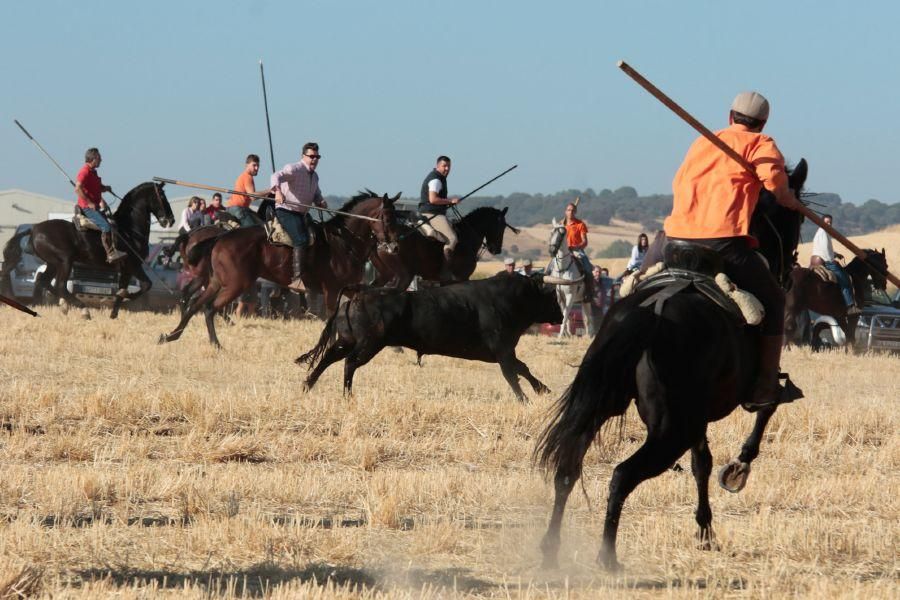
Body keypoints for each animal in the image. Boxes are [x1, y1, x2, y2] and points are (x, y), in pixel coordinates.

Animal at [0, 182, 175, 318]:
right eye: (162, 196)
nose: (171, 220)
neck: (129, 230)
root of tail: (34, 229)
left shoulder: (126, 269)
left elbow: (127, 288)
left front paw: (114, 313)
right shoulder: (133, 265)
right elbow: (146, 285)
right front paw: (125, 296)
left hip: (52, 263)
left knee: (44, 280)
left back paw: (65, 305)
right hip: (65, 261)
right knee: (60, 285)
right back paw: (83, 310)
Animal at [159, 188, 400, 346]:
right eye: (388, 218)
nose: (395, 246)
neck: (343, 243)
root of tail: (220, 237)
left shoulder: (350, 288)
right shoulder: (332, 291)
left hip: (217, 281)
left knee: (195, 303)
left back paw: (171, 335)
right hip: (235, 284)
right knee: (209, 308)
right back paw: (215, 344)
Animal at [296, 274, 576, 400]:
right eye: (549, 296)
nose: (560, 315)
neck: (510, 299)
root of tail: (359, 292)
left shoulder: (504, 352)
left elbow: (522, 368)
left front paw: (543, 389)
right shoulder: (502, 350)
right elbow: (512, 374)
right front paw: (525, 399)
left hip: (347, 340)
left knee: (328, 358)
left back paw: (307, 386)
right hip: (369, 344)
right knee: (349, 362)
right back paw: (347, 395)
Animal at [370, 207, 516, 290]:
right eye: (502, 226)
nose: (496, 249)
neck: (467, 236)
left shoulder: (445, 282)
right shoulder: (461, 278)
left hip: (386, 274)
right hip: (404, 275)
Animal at [536, 161, 808, 572]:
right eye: (795, 218)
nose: (791, 269)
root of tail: (651, 311)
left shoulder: (698, 419)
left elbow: (702, 464)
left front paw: (706, 531)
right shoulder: (740, 400)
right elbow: (764, 411)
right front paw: (738, 469)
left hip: (611, 407)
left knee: (568, 467)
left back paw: (551, 548)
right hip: (671, 430)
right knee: (622, 474)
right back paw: (607, 557)